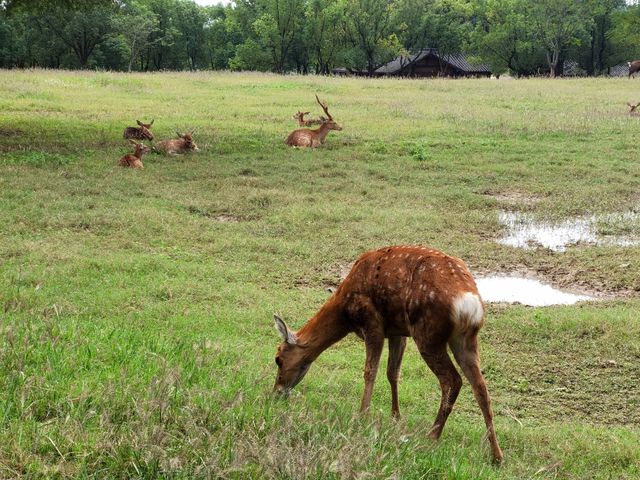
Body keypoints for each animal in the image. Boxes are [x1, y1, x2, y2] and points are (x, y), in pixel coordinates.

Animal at [272, 246, 504, 464]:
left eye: (278, 359)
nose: (276, 392)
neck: (344, 310)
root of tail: (470, 302)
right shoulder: (397, 331)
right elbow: (393, 373)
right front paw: (396, 417)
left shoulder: (372, 322)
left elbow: (370, 371)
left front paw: (363, 415)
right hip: (465, 339)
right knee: (480, 387)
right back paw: (496, 455)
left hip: (428, 334)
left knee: (452, 380)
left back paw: (432, 436)